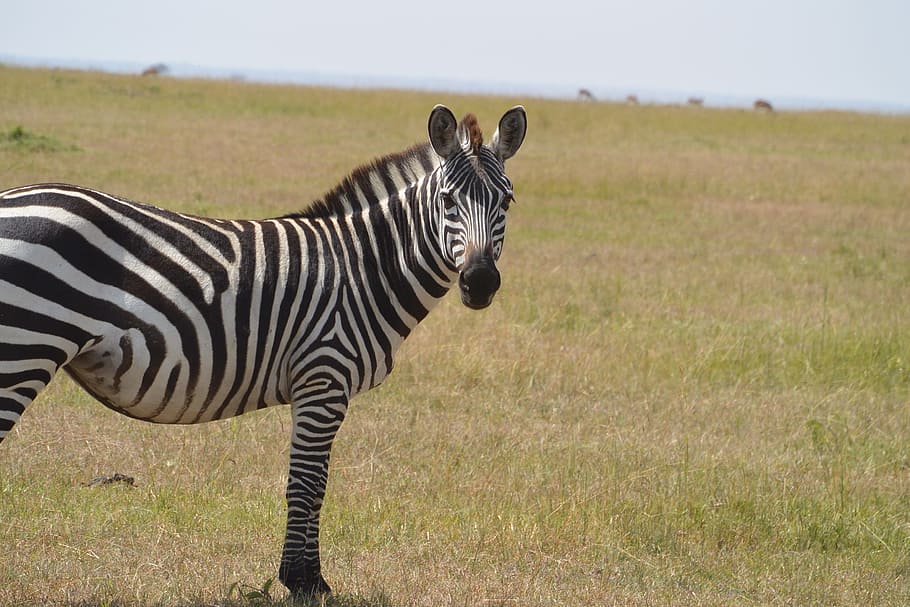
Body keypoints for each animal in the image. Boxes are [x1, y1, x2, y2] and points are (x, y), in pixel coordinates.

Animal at [0, 103, 528, 592]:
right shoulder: (323, 378)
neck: (365, 267)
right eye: (448, 201)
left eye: (506, 201)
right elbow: (307, 485)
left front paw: (306, 578)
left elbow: (314, 483)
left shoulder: (320, 388)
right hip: (23, 348)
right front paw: (304, 582)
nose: (480, 282)